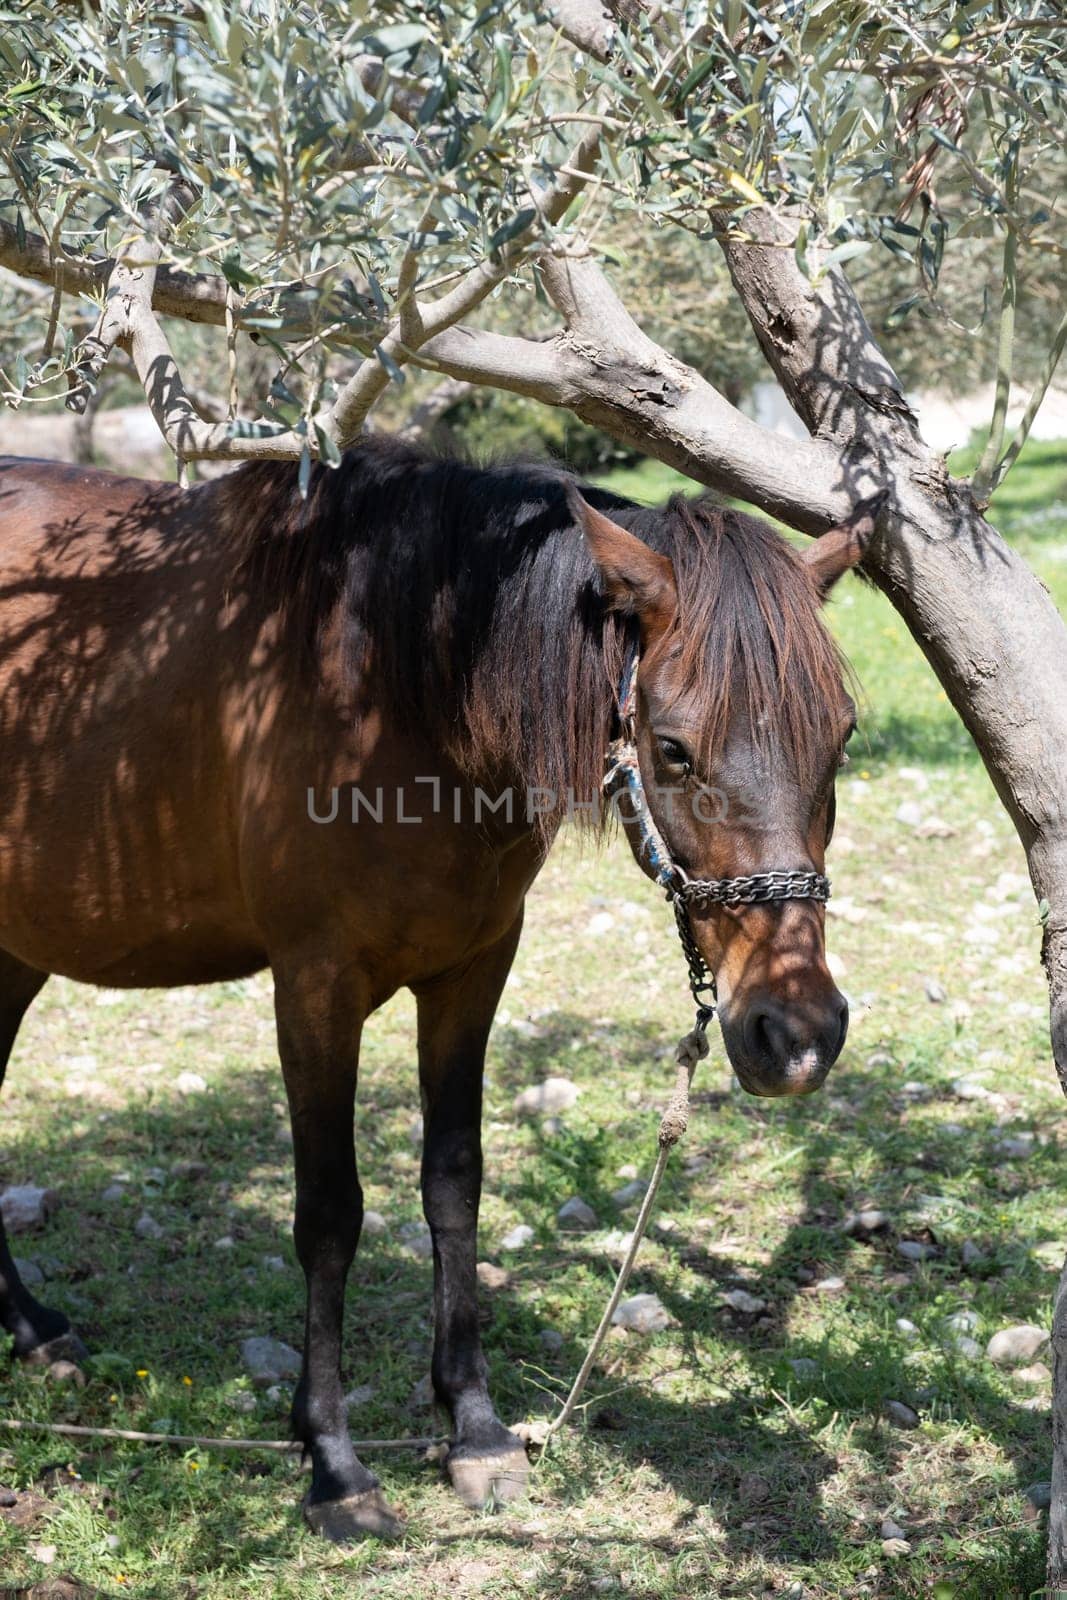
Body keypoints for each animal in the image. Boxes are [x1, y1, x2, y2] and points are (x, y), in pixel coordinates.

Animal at [0, 438, 870, 1536]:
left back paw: (34, 1330)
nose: (796, 1034)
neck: (398, 686)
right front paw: (333, 1461)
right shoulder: (313, 986)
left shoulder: (473, 967)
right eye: (671, 746)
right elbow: (330, 1214)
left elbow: (454, 1183)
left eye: (839, 737)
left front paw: (475, 1428)